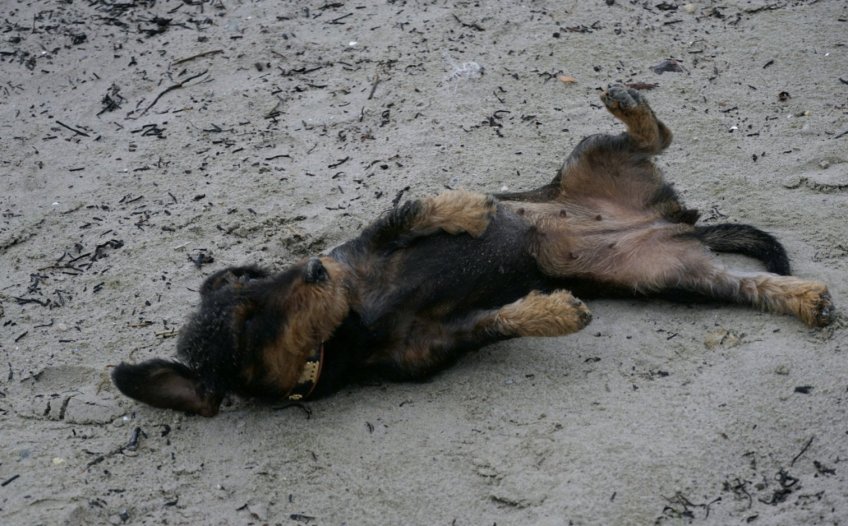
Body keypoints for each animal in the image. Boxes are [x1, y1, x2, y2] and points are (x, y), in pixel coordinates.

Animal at [112, 85, 834, 416]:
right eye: (251, 321)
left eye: (258, 282)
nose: (317, 269)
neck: (349, 319)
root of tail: (665, 220)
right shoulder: (441, 344)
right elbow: (505, 321)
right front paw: (557, 312)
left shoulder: (368, 245)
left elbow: (407, 211)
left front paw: (469, 207)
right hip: (669, 276)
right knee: (745, 285)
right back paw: (808, 300)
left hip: (591, 161)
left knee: (651, 136)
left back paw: (628, 102)